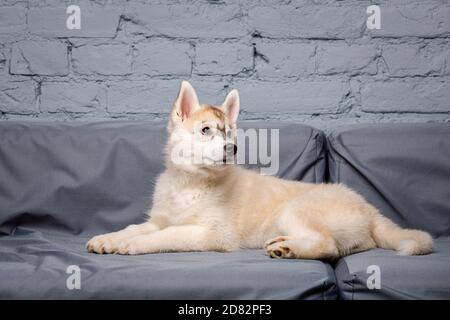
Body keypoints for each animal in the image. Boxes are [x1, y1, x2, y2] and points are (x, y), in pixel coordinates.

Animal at [86, 80, 434, 260]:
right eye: (206, 130)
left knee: (329, 246)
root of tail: (368, 207)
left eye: (230, 133)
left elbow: (169, 234)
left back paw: (288, 248)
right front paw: (109, 238)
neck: (191, 182)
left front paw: (134, 246)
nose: (233, 149)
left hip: (296, 208)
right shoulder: (159, 218)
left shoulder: (215, 234)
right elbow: (137, 227)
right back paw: (285, 243)